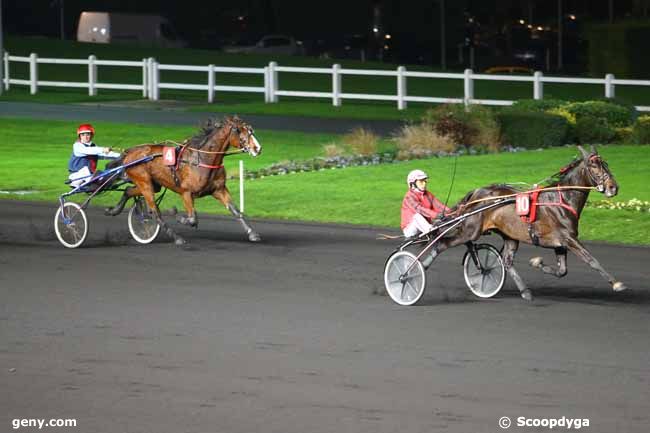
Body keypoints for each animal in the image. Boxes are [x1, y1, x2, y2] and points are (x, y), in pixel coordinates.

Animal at [104, 116, 260, 245]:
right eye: (239, 130)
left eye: (251, 129)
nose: (257, 148)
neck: (202, 159)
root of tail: (129, 152)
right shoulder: (186, 192)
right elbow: (192, 219)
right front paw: (176, 214)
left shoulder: (219, 189)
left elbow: (236, 211)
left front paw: (252, 233)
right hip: (144, 183)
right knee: (155, 212)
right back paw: (176, 237)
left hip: (152, 184)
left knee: (128, 190)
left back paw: (113, 210)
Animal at [436, 145, 624, 300]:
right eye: (594, 166)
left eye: (605, 163)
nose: (613, 187)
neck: (562, 199)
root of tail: (476, 192)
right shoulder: (569, 239)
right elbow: (591, 260)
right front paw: (616, 283)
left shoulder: (560, 243)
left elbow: (562, 271)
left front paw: (537, 263)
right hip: (471, 230)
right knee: (445, 243)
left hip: (509, 235)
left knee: (507, 261)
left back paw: (525, 291)